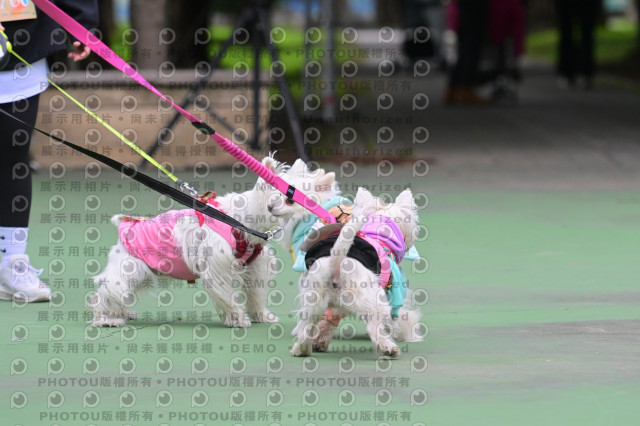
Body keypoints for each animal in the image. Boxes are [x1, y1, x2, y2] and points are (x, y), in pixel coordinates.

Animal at [88, 156, 336, 328]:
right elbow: (227, 295)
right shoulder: (218, 267)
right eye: (291, 199)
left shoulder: (254, 266)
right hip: (129, 270)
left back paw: (121, 313)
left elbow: (255, 295)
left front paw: (262, 316)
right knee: (103, 294)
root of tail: (124, 226)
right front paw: (238, 319)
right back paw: (106, 319)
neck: (241, 219)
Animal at [290, 187, 423, 358]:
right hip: (371, 300)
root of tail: (336, 261)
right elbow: (401, 318)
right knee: (374, 327)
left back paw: (302, 350)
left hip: (313, 301)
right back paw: (388, 348)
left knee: (307, 328)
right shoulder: (395, 295)